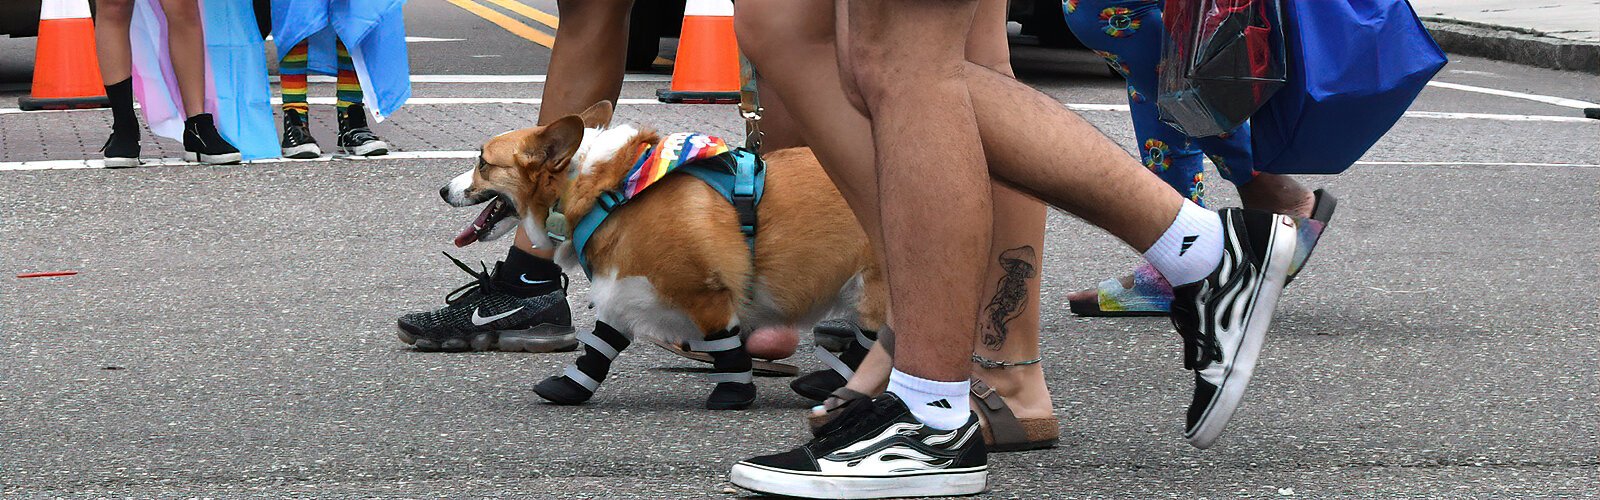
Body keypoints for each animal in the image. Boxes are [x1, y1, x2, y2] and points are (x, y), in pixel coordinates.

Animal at [441, 102, 889, 410]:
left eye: (482, 163)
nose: (443, 190)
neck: (605, 191)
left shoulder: (704, 293)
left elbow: (726, 347)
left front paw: (733, 394)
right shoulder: (625, 286)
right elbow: (600, 345)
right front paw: (568, 387)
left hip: (873, 284)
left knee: (874, 335)